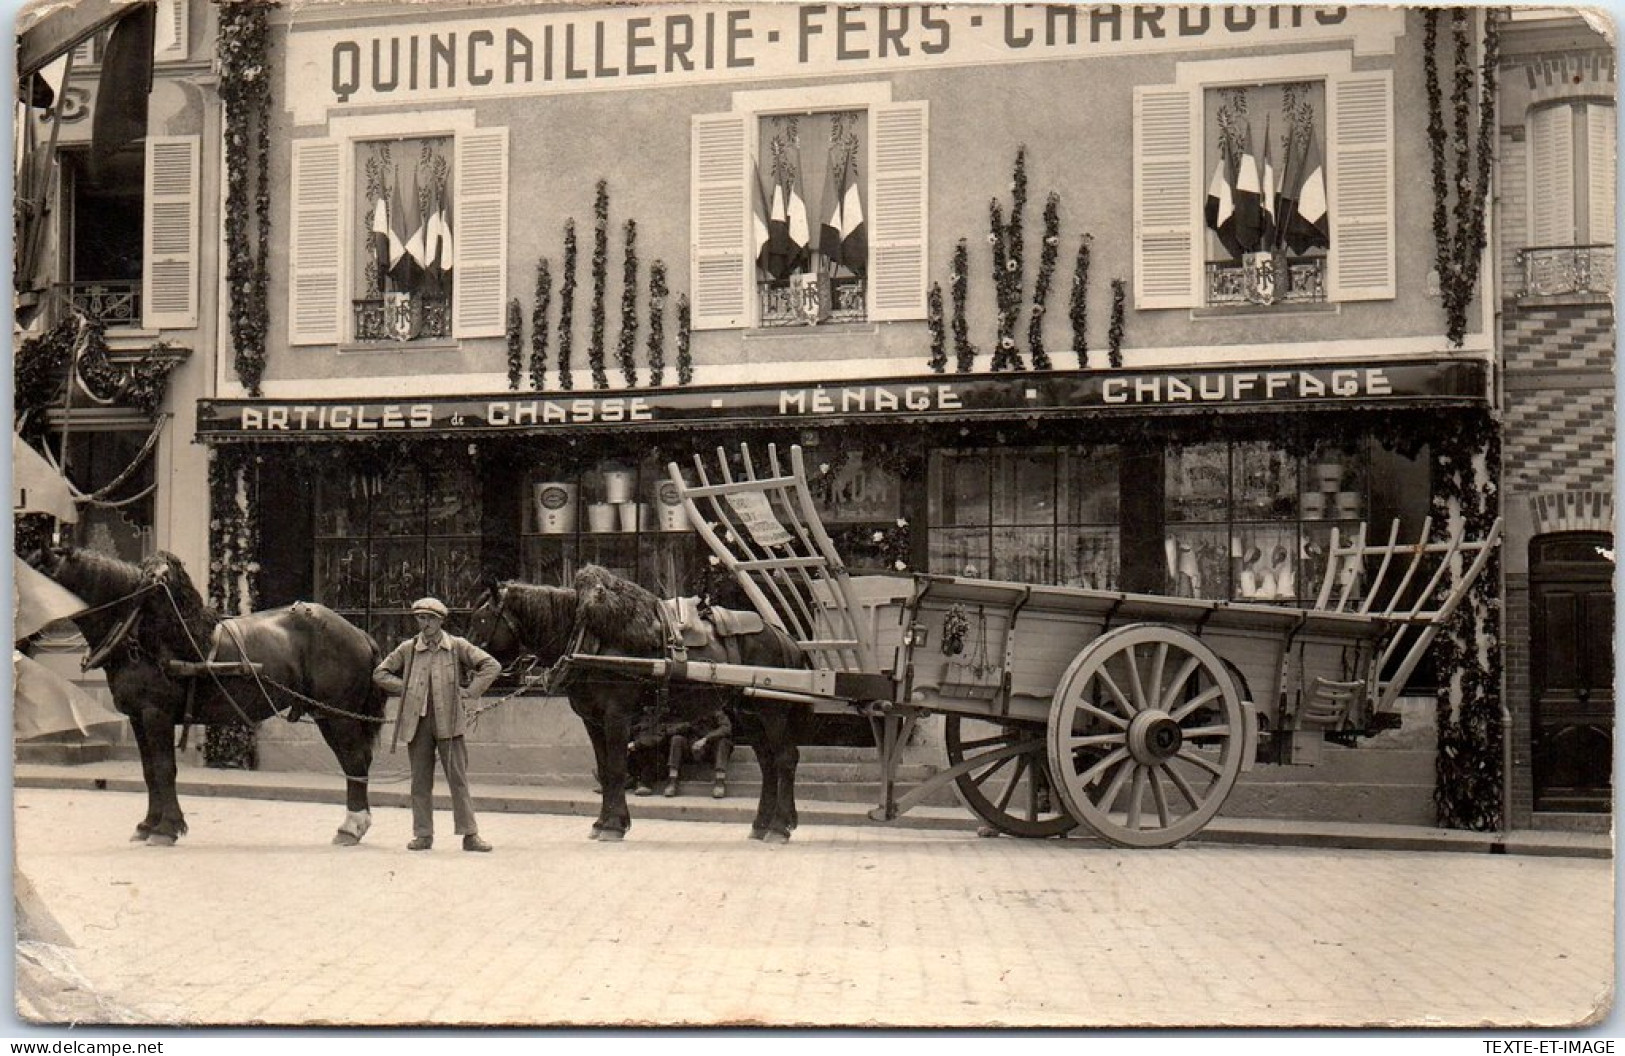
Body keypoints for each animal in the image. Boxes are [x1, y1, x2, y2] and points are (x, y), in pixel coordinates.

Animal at [37, 545, 386, 844]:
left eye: (38, 569)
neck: (142, 632)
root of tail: (359, 633)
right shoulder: (138, 717)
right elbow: (149, 771)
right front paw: (148, 824)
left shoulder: (156, 714)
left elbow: (164, 769)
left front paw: (167, 828)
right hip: (328, 714)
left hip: (337, 714)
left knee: (354, 760)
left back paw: (351, 827)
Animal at [471, 562, 812, 844]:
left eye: (481, 618)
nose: (469, 668)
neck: (588, 637)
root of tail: (785, 638)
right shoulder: (593, 721)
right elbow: (605, 769)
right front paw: (602, 822)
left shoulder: (616, 717)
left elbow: (617, 767)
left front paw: (613, 826)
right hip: (748, 714)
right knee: (768, 763)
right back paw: (761, 825)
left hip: (773, 712)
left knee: (785, 759)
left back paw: (779, 827)